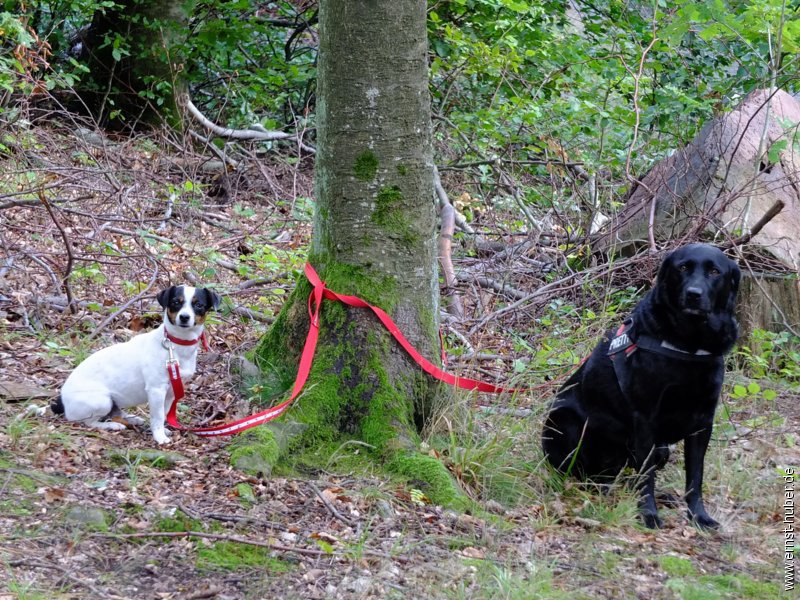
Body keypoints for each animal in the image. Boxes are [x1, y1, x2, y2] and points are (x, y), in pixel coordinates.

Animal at [52, 284, 222, 442]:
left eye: (198, 305)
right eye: (175, 302)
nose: (184, 317)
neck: (175, 346)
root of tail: (62, 400)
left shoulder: (170, 393)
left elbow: (164, 414)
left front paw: (163, 430)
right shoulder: (156, 390)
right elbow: (158, 416)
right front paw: (159, 436)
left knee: (116, 412)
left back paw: (132, 419)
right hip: (101, 400)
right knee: (89, 422)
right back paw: (113, 425)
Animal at [540, 244, 740, 528]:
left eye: (714, 271)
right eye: (683, 268)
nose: (693, 294)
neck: (690, 344)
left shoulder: (703, 422)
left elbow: (695, 476)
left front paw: (699, 516)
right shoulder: (645, 419)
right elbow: (647, 476)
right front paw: (648, 514)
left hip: (661, 448)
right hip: (564, 421)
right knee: (595, 475)